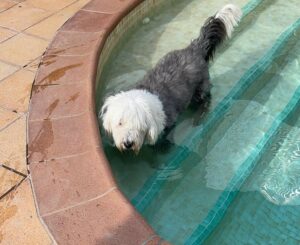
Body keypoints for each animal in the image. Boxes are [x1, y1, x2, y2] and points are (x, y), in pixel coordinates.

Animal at [100, 3, 241, 153]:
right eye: (120, 123)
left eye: (139, 125)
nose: (128, 143)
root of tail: (194, 49)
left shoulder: (169, 122)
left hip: (201, 89)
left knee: (205, 99)